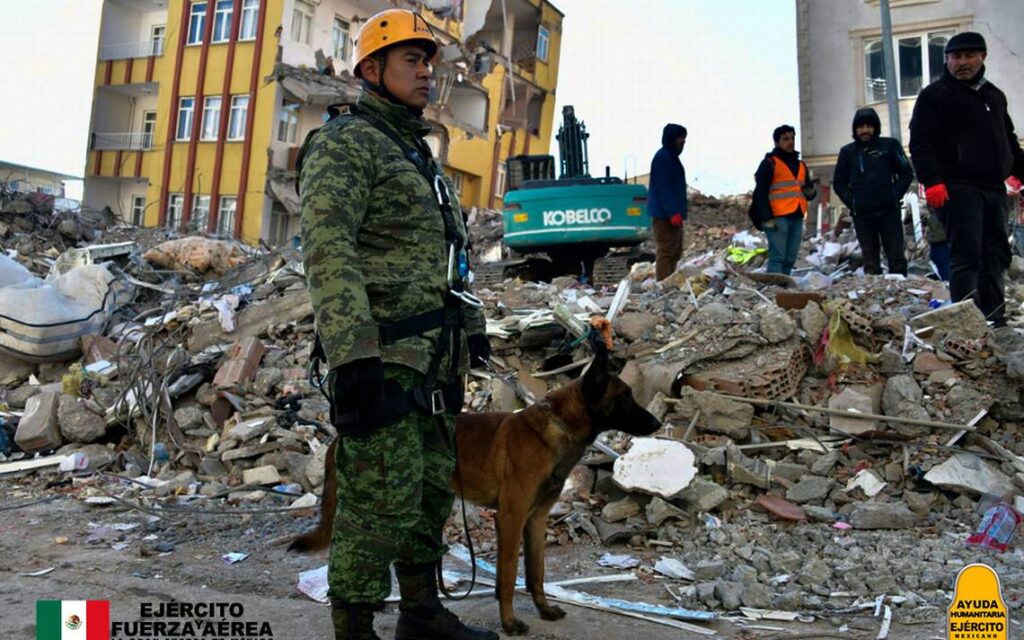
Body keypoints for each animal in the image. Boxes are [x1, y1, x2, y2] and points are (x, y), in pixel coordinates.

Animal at [290, 342, 655, 630]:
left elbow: (536, 572)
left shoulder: (535, 520)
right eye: (625, 398)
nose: (656, 423)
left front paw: (543, 608)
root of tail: (339, 437)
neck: (558, 428)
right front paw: (509, 622)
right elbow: (509, 577)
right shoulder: (510, 519)